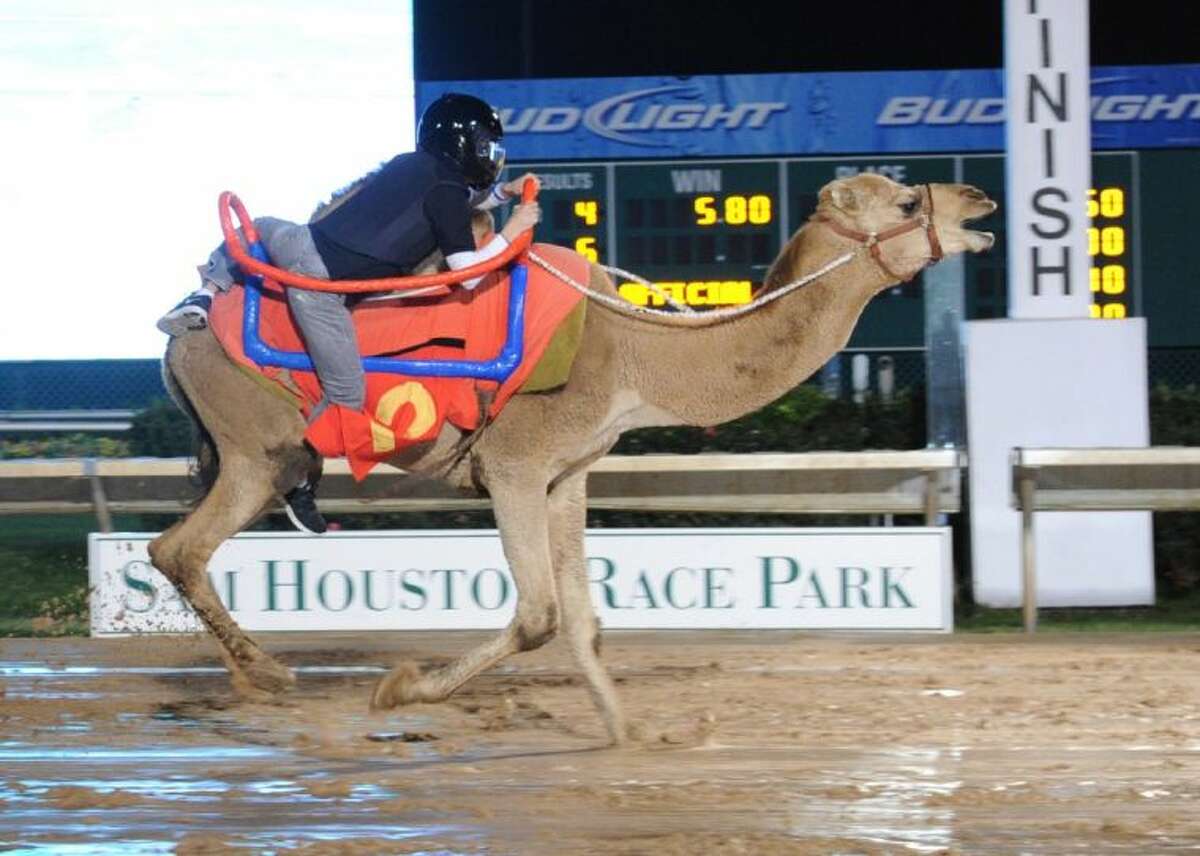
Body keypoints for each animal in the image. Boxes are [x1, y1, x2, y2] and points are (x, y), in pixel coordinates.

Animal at [150, 171, 993, 739]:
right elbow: (538, 615)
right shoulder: (515, 468)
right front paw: (400, 691)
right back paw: (267, 671)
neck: (637, 353)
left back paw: (249, 676)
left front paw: (632, 735)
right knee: (179, 548)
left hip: (261, 459)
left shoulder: (567, 475)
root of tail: (184, 329)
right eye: (907, 204)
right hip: (256, 450)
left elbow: (584, 621)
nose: (979, 204)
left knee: (177, 547)